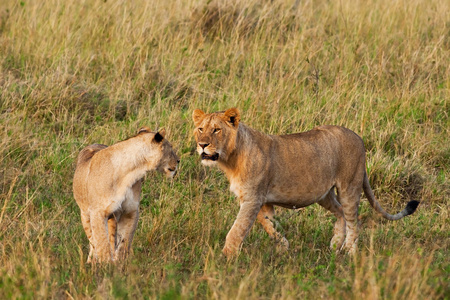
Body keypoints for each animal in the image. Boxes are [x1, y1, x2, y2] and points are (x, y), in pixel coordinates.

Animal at [73, 126, 178, 262]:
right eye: (170, 148)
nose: (178, 161)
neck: (128, 173)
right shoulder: (98, 212)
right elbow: (101, 242)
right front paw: (105, 264)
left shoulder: (130, 211)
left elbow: (124, 240)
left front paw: (120, 262)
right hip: (85, 214)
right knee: (92, 239)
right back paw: (91, 260)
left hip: (112, 217)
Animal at [192, 106, 420, 256]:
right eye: (200, 129)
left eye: (216, 130)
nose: (202, 145)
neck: (230, 159)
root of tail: (358, 137)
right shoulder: (261, 201)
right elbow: (270, 226)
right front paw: (283, 247)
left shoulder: (252, 198)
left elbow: (237, 229)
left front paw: (225, 257)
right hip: (323, 194)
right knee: (341, 213)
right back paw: (335, 244)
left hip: (349, 186)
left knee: (354, 220)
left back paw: (349, 251)